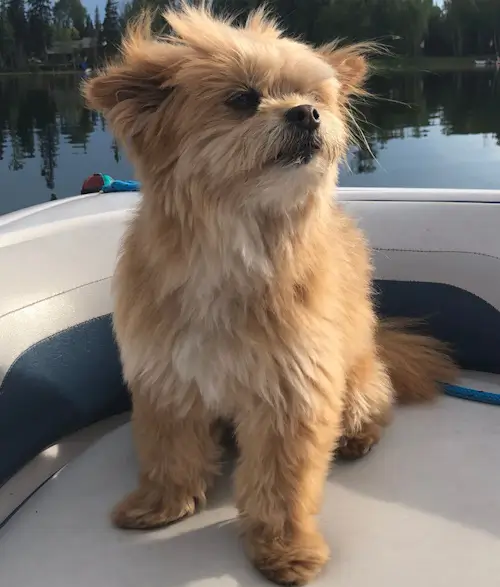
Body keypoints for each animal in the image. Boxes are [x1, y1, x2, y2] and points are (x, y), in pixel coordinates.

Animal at [85, 5, 458, 587]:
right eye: (242, 99)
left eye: (314, 96)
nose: (308, 114)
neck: (236, 240)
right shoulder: (166, 377)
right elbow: (170, 450)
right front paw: (161, 503)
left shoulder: (294, 391)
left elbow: (283, 484)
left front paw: (284, 547)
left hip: (356, 383)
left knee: (374, 405)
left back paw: (358, 437)